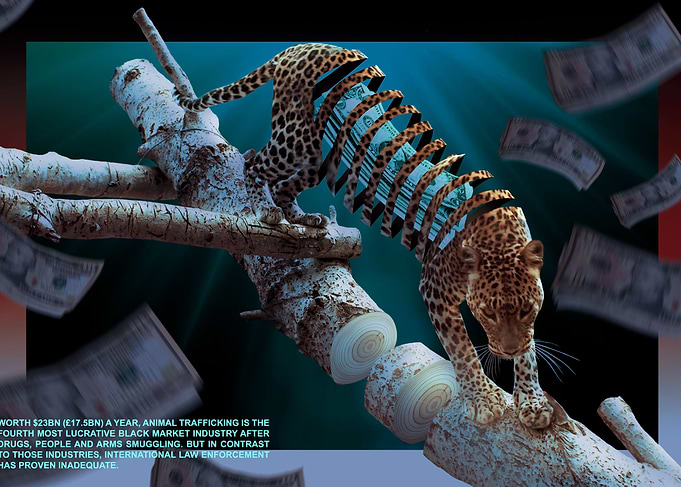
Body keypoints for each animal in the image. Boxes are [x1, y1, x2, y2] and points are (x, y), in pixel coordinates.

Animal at [174, 43, 554, 429]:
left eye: (527, 309)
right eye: (489, 314)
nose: (508, 349)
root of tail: (305, 46)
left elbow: (529, 352)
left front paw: (532, 400)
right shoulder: (435, 291)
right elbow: (462, 349)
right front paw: (485, 399)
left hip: (317, 153)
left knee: (284, 184)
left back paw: (306, 219)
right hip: (295, 139)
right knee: (253, 164)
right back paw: (264, 210)